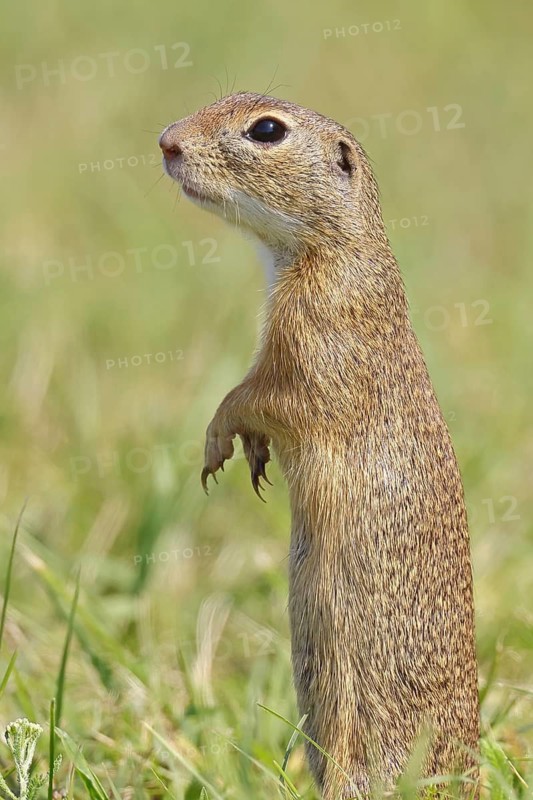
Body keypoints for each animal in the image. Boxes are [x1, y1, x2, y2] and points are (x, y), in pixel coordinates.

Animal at [159, 93, 479, 798]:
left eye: (266, 129)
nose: (166, 141)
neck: (328, 250)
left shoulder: (313, 342)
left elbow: (259, 397)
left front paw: (217, 442)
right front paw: (248, 457)